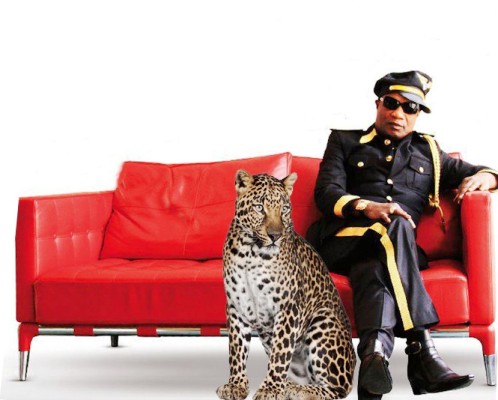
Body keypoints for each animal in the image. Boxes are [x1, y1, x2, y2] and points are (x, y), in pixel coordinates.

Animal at [216, 170, 356, 400]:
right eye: (259, 207)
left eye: (284, 209)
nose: (275, 236)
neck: (250, 253)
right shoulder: (236, 307)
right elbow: (236, 349)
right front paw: (236, 385)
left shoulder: (288, 307)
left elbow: (280, 353)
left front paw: (270, 390)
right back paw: (290, 386)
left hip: (323, 320)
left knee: (337, 389)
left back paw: (298, 390)